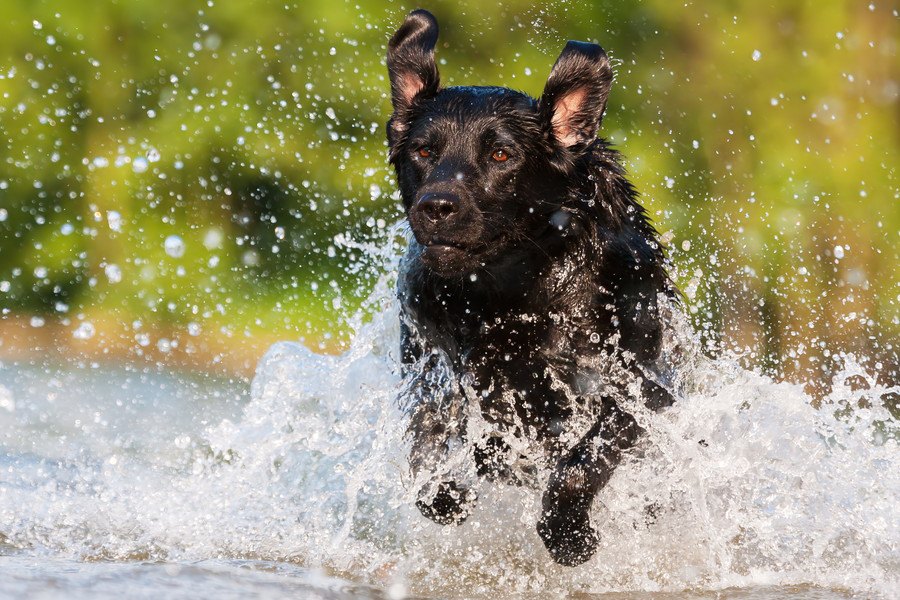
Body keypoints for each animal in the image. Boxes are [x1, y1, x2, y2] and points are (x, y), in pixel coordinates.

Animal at [386, 9, 676, 564]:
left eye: (501, 154)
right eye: (424, 150)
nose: (436, 206)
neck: (508, 293)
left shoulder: (643, 389)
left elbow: (582, 462)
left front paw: (569, 535)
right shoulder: (432, 370)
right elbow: (424, 451)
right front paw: (448, 494)